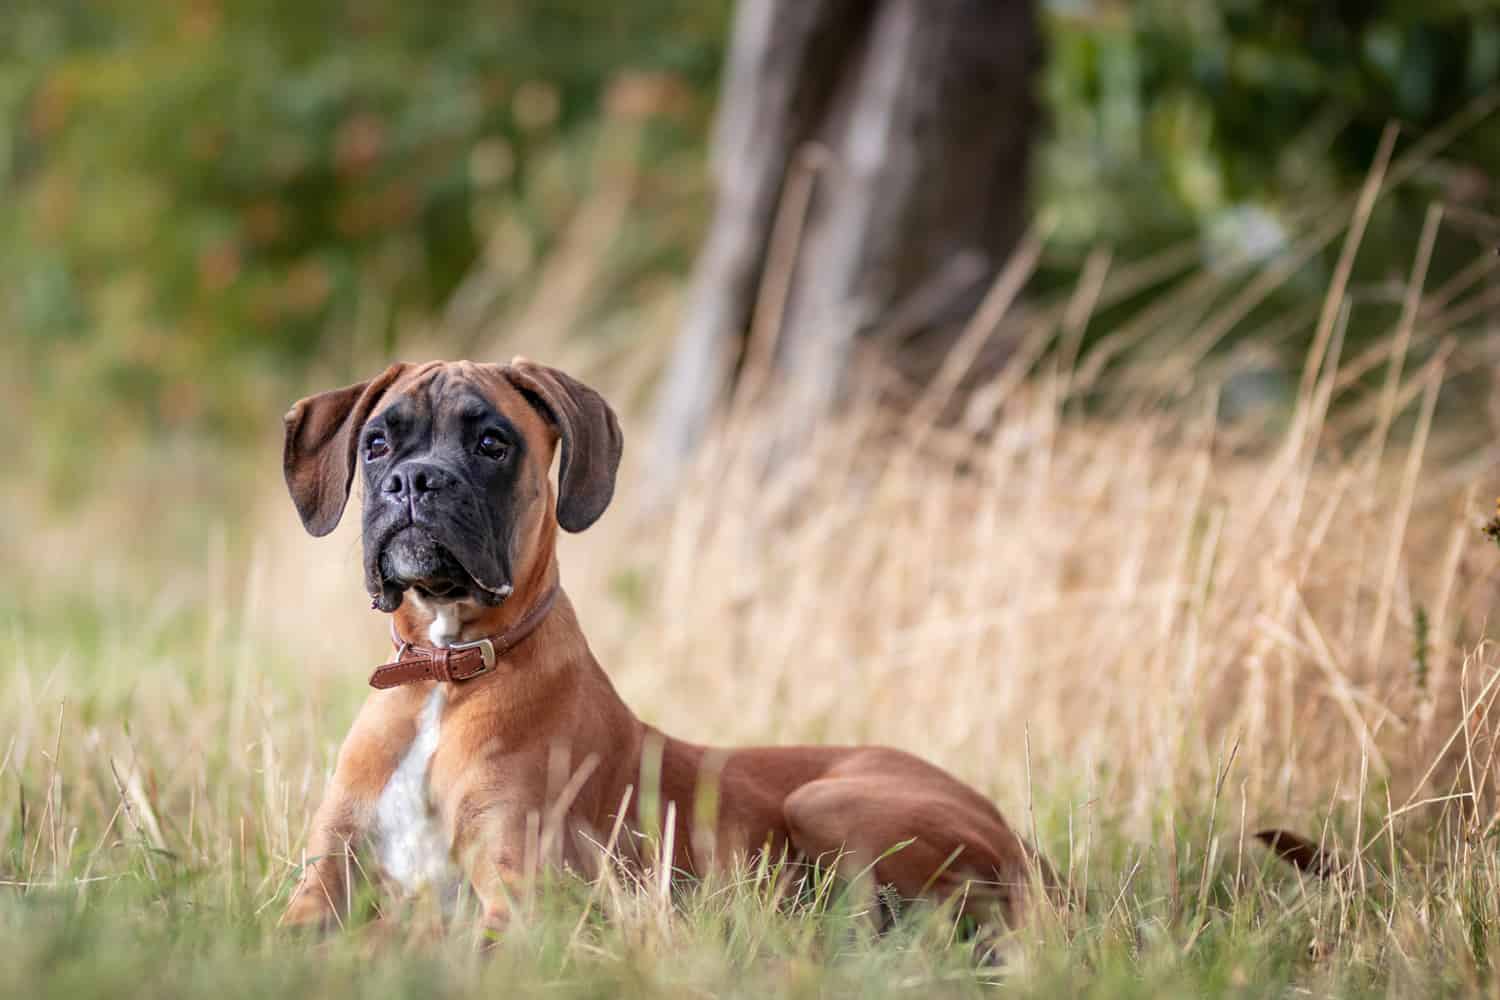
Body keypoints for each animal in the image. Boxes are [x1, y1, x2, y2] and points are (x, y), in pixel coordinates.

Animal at [279, 359, 1056, 941]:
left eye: (492, 444)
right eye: (377, 444)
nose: (415, 480)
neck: (446, 674)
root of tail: (1028, 847)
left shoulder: (515, 900)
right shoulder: (320, 887)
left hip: (827, 799)